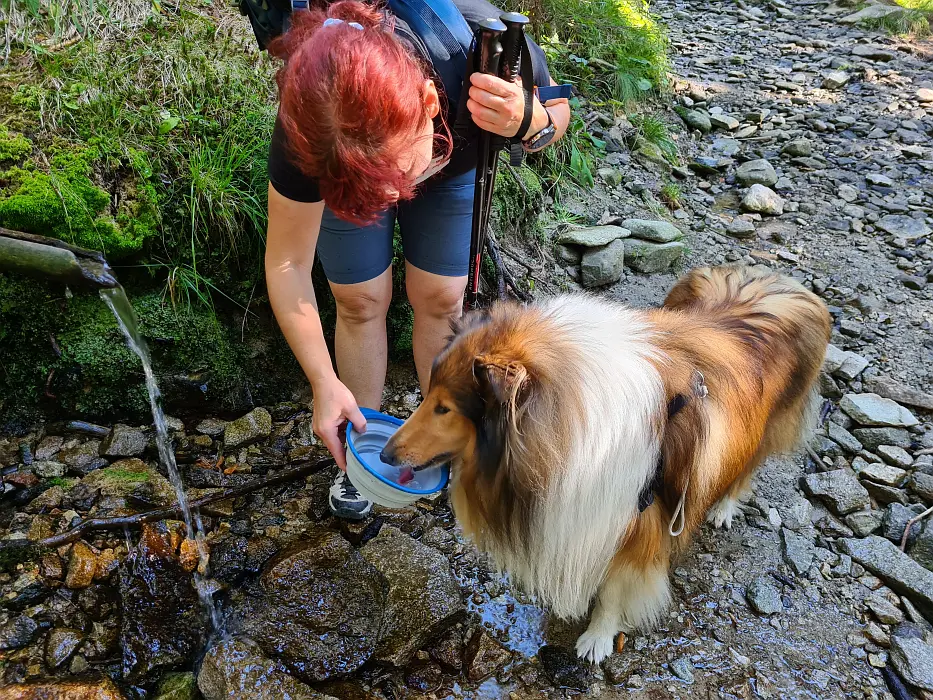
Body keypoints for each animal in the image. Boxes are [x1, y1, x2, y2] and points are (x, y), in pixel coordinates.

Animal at [378, 266, 832, 664]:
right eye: (428, 395)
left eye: (445, 409)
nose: (384, 455)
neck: (566, 429)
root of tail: (778, 280)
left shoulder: (640, 521)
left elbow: (615, 590)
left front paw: (597, 637)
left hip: (767, 428)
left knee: (746, 470)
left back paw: (722, 508)